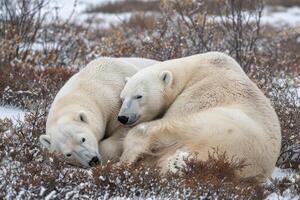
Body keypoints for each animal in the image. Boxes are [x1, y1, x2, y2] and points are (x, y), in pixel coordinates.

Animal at [116, 52, 282, 180]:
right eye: (122, 98)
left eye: (139, 96)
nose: (123, 117)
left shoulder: (201, 95)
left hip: (215, 126)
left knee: (155, 131)